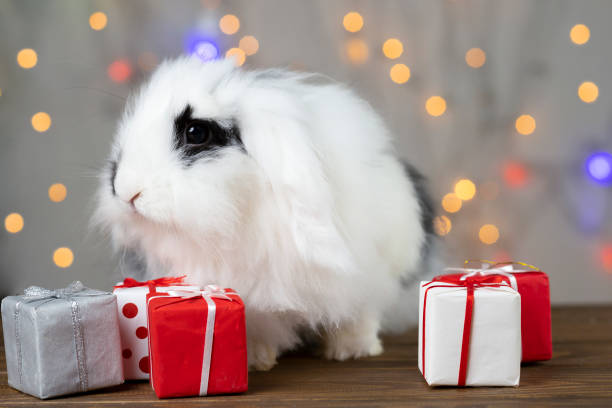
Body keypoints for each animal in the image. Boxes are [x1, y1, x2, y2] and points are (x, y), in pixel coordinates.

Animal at [95, 55, 436, 372]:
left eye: (196, 132)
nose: (125, 191)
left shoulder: (368, 274)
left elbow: (359, 313)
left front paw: (352, 350)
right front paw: (255, 359)